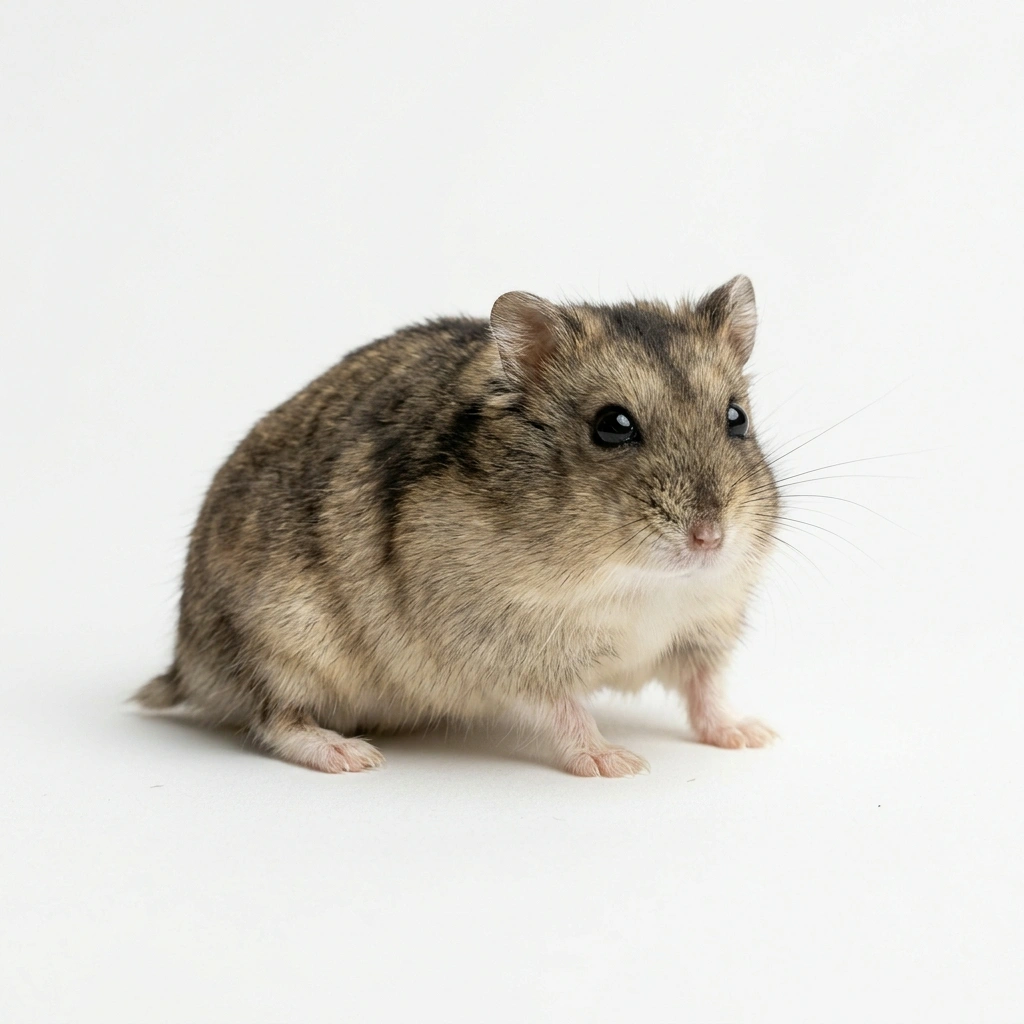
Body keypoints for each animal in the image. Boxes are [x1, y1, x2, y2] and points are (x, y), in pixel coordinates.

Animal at [134, 276, 780, 776]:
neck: (639, 582)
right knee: (275, 717)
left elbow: (706, 689)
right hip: (281, 645)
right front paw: (617, 762)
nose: (710, 538)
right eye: (613, 425)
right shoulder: (505, 648)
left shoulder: (704, 629)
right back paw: (351, 755)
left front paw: (754, 735)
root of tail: (186, 664)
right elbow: (564, 708)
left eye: (736, 417)